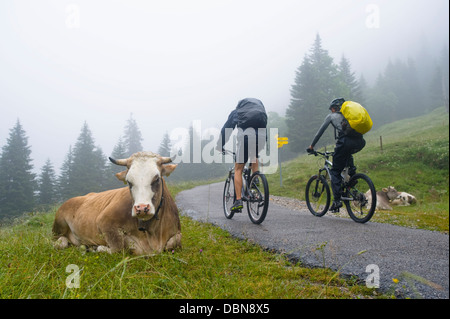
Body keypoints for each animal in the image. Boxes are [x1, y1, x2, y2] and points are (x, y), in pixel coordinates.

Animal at [54, 152, 183, 255]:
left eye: (156, 179)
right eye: (129, 182)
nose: (141, 208)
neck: (152, 233)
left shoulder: (177, 231)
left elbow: (175, 241)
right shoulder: (104, 221)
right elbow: (119, 247)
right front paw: (96, 248)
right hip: (58, 224)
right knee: (59, 242)